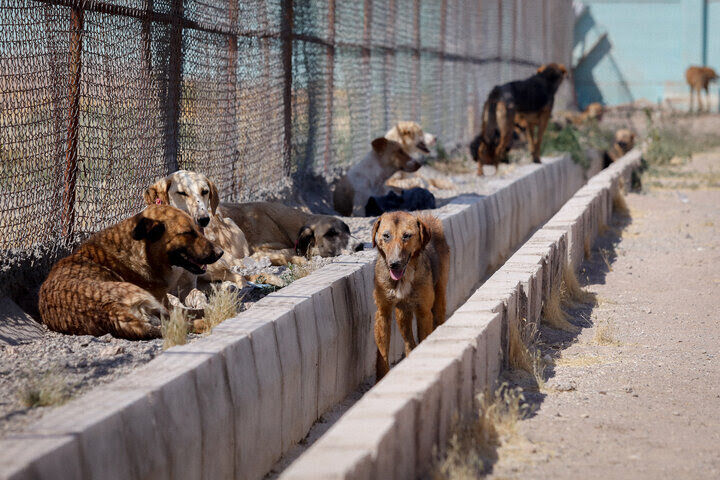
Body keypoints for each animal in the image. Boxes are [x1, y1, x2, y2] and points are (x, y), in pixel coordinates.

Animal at [36, 204, 221, 340]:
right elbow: (192, 311)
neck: (142, 251)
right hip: (154, 303)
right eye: (187, 233)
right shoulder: (165, 302)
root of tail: (110, 311)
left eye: (197, 229)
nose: (220, 253)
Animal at [372, 212, 450, 380]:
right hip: (402, 314)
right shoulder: (383, 312)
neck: (403, 278)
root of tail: (426, 217)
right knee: (408, 342)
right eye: (386, 236)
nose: (394, 264)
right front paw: (381, 379)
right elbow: (382, 355)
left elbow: (424, 338)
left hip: (439, 297)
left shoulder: (423, 312)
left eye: (407, 235)